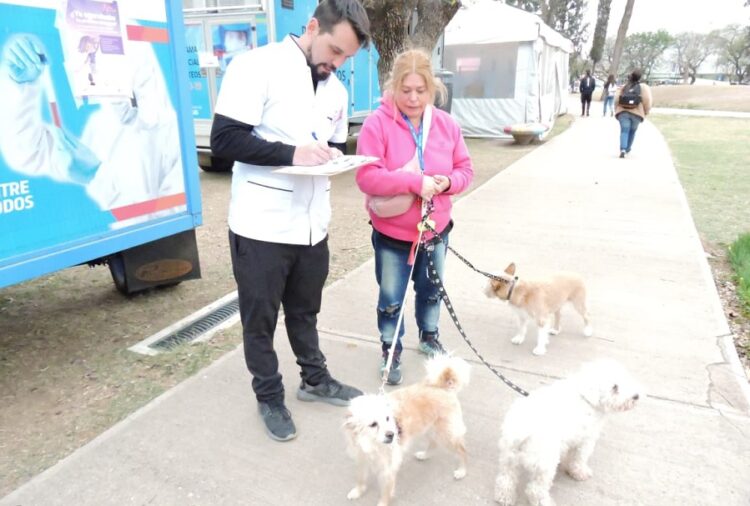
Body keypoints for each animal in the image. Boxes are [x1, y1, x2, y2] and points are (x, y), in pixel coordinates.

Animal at [496, 360, 644, 506]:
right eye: (614, 387)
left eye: (625, 377)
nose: (636, 396)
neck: (585, 396)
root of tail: (521, 429)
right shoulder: (586, 441)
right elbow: (579, 458)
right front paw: (579, 472)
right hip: (544, 464)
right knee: (535, 490)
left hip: (508, 459)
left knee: (505, 480)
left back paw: (504, 498)